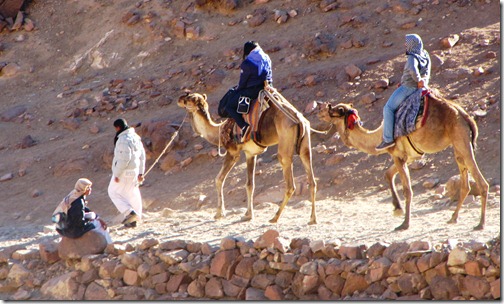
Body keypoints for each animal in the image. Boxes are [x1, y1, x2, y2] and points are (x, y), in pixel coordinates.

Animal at [178, 90, 318, 226]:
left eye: (188, 98)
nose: (179, 99)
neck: (219, 130)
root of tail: (299, 120)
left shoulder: (233, 152)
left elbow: (219, 179)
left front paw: (219, 213)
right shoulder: (251, 154)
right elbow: (250, 184)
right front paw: (248, 215)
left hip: (285, 145)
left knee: (290, 184)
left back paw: (274, 218)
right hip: (305, 146)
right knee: (312, 180)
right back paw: (312, 219)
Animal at [318, 90, 488, 230]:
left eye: (333, 110)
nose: (320, 110)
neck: (378, 136)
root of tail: (465, 116)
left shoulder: (397, 154)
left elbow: (407, 190)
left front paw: (404, 224)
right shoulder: (408, 157)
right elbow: (388, 174)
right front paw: (397, 209)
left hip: (461, 139)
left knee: (481, 182)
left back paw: (480, 224)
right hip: (458, 145)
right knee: (465, 183)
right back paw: (453, 218)